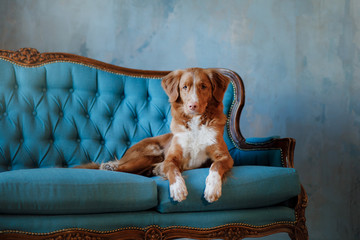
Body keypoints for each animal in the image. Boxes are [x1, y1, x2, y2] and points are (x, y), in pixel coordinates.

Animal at [79, 68, 233, 202]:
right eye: (184, 87)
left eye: (204, 86)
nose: (192, 106)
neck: (195, 124)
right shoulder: (170, 158)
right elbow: (173, 170)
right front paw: (178, 188)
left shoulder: (225, 157)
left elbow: (216, 166)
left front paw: (212, 188)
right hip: (152, 154)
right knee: (117, 169)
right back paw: (109, 167)